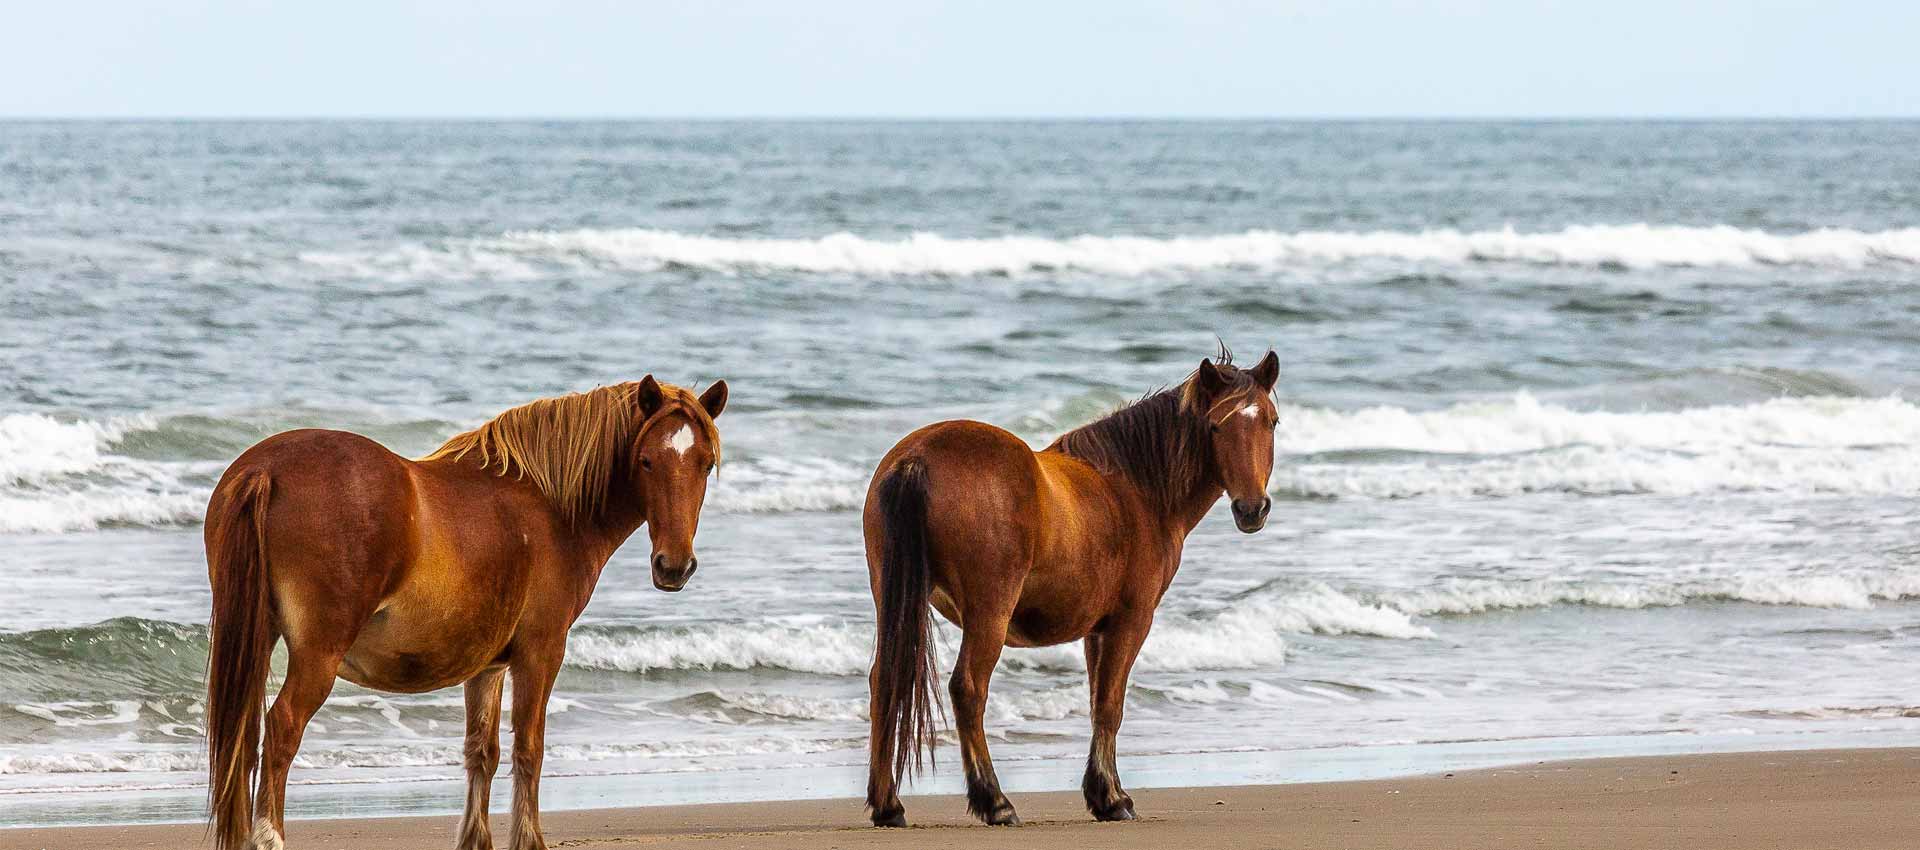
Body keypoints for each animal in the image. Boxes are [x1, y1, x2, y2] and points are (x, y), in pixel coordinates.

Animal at [202, 379, 725, 850]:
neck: (549, 507)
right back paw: (268, 836)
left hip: (255, 638)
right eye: (646, 460)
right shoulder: (541, 652)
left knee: (244, 735)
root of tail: (266, 471)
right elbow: (529, 748)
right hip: (318, 656)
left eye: (705, 464)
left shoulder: (487, 666)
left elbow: (482, 753)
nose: (674, 566)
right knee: (282, 728)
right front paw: (528, 839)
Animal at [867, 349, 1274, 828]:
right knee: (968, 689)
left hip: (891, 600)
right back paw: (995, 802)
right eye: (1216, 426)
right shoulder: (1130, 622)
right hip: (989, 614)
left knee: (884, 682)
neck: (1133, 489)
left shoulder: (1096, 630)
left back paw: (887, 804)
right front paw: (1113, 800)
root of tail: (916, 460)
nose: (1252, 509)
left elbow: (1098, 702)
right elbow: (1111, 706)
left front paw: (1103, 794)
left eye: (1270, 422)